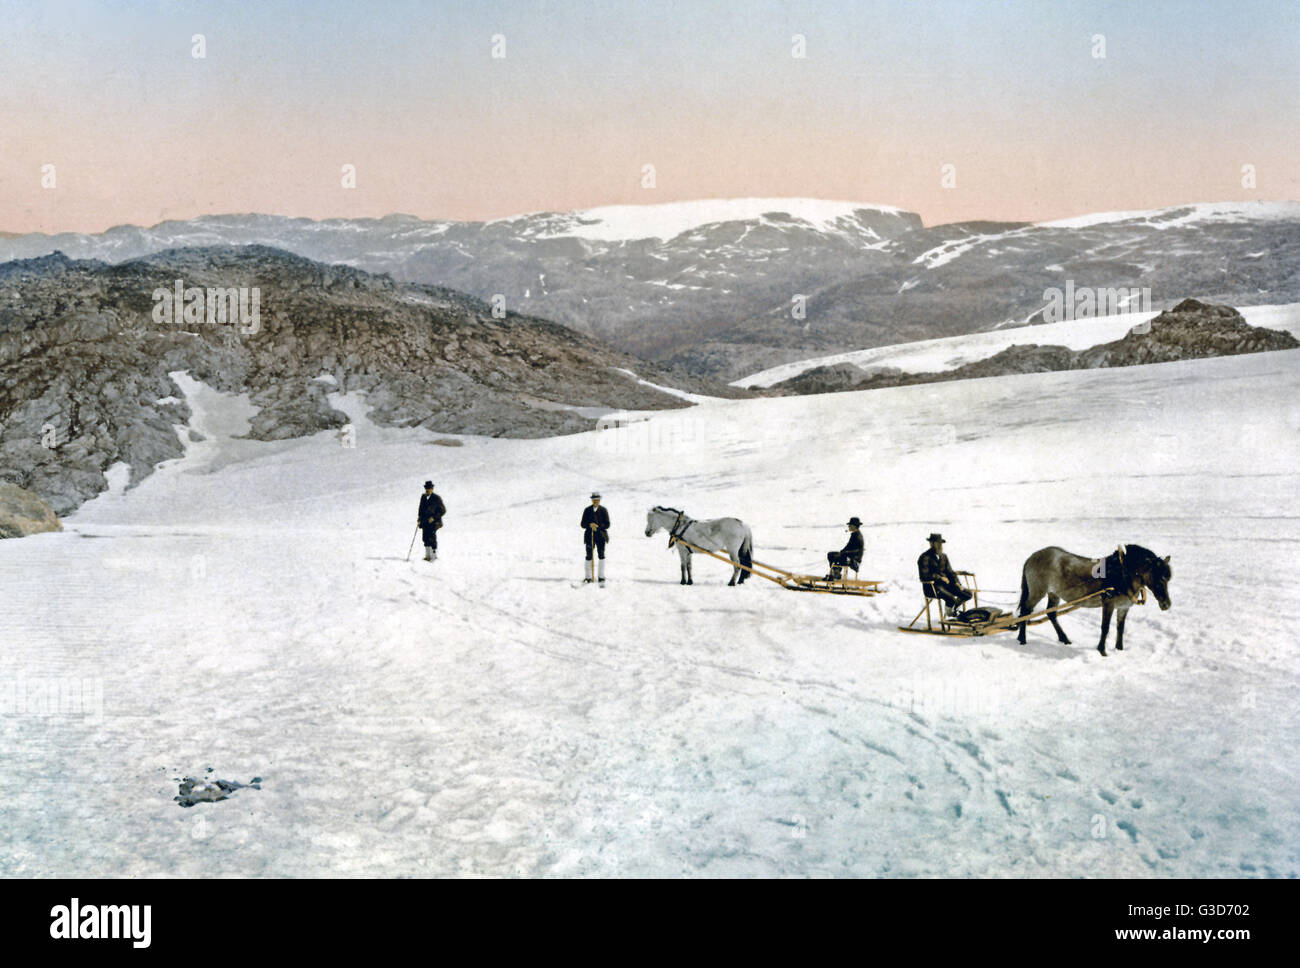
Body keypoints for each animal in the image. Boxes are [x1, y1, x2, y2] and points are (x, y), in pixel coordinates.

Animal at [1019, 543, 1175, 657]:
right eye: (1159, 578)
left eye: (1168, 579)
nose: (1166, 604)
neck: (1122, 574)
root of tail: (1032, 557)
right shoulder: (1108, 603)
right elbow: (1105, 627)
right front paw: (1102, 651)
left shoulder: (1123, 607)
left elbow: (1120, 628)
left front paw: (1119, 649)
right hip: (1037, 592)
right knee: (1025, 611)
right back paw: (1022, 639)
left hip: (1053, 593)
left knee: (1051, 613)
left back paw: (1064, 639)